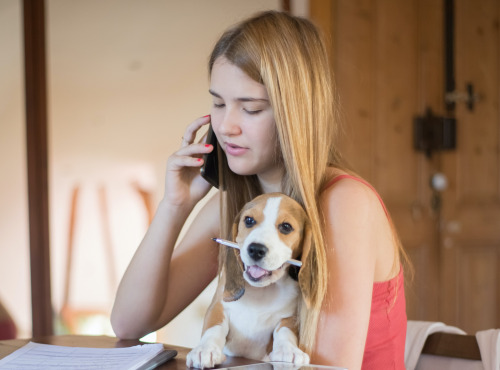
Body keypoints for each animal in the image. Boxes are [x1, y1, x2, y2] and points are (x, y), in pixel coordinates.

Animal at [187, 192, 312, 368]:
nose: (256, 249)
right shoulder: (218, 306)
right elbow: (213, 327)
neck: (262, 290)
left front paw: (289, 350)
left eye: (286, 227)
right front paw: (205, 349)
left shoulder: (290, 317)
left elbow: (285, 331)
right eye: (249, 220)